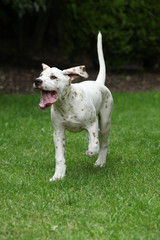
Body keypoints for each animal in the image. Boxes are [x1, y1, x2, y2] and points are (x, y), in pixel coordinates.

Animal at [33, 32, 113, 182]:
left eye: (53, 77)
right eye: (40, 75)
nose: (37, 81)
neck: (66, 105)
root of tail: (98, 82)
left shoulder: (92, 124)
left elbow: (94, 146)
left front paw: (89, 153)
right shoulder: (58, 132)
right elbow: (59, 157)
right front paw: (58, 175)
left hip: (105, 121)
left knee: (103, 142)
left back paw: (100, 162)